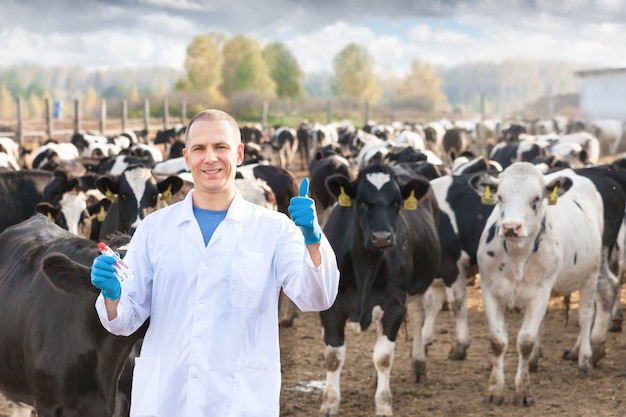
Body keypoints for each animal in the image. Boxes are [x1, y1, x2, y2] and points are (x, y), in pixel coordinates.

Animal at [316, 163, 438, 416]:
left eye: (397, 202)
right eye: (361, 201)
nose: (381, 237)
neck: (365, 268)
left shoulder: (394, 304)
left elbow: (383, 357)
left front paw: (383, 404)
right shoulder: (330, 307)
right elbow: (333, 357)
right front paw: (329, 403)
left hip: (417, 289)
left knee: (418, 317)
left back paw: (419, 365)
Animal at [468, 162, 608, 406]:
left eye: (536, 198)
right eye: (500, 197)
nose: (511, 227)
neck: (517, 256)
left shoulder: (540, 293)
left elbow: (525, 341)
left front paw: (523, 391)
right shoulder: (489, 290)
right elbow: (497, 341)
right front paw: (494, 390)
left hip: (591, 274)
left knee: (585, 316)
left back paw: (584, 361)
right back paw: (534, 362)